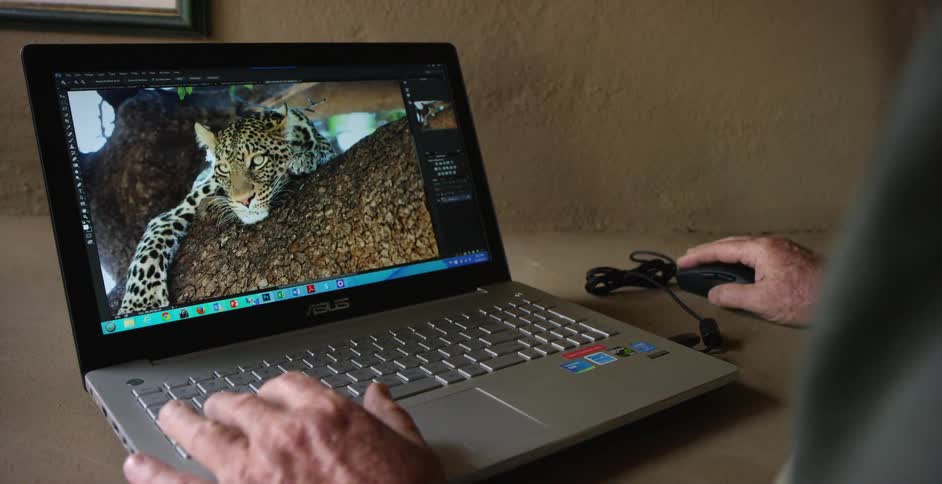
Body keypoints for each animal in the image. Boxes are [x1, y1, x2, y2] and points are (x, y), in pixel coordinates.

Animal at [116, 104, 335, 317]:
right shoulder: (172, 215)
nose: (244, 200)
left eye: (258, 161)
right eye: (223, 168)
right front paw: (139, 305)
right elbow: (147, 253)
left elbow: (323, 151)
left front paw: (305, 158)